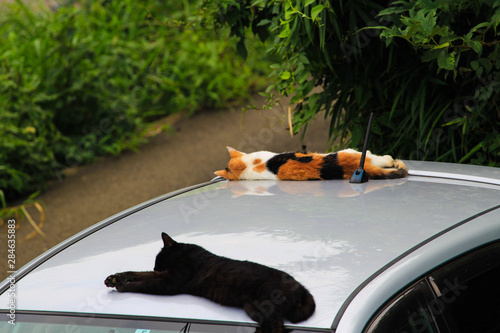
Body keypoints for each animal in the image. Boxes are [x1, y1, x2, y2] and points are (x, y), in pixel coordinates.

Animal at [104, 232, 316, 330]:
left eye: (159, 259)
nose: (156, 267)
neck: (185, 253)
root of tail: (301, 288)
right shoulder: (165, 276)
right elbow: (140, 273)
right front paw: (115, 277)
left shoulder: (170, 282)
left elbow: (142, 283)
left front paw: (122, 285)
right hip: (253, 308)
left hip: (264, 309)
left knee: (276, 327)